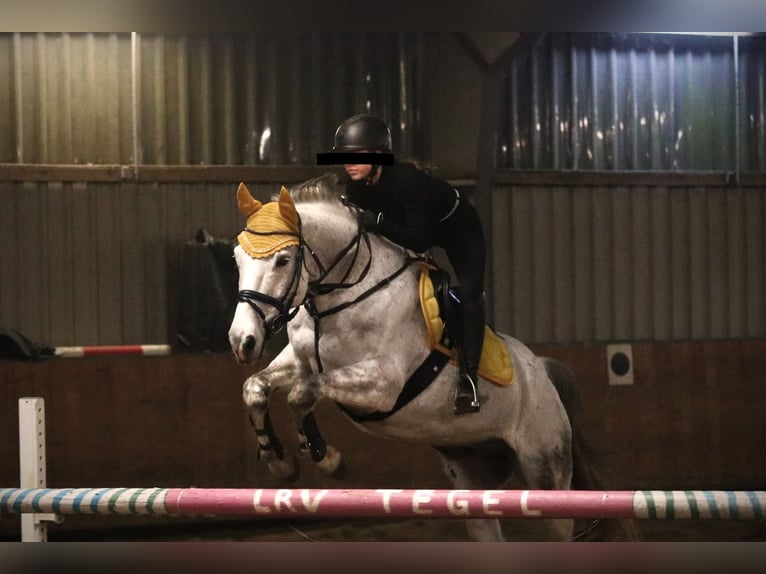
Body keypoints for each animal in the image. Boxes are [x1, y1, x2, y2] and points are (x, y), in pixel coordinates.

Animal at [226, 173, 636, 544]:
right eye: (236, 258)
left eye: (282, 260)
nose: (241, 341)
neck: (345, 294)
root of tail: (543, 373)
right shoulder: (300, 361)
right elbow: (256, 387)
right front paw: (280, 462)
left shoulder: (382, 385)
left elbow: (302, 393)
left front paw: (328, 459)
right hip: (472, 481)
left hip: (545, 470)